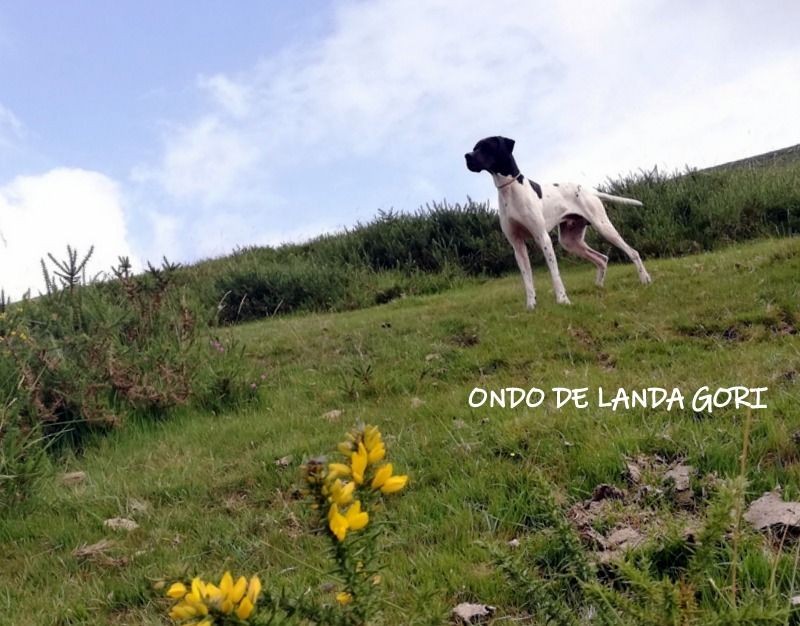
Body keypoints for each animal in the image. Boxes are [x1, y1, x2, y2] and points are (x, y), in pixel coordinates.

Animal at [466, 136, 652, 308]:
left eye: (486, 147)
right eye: (475, 148)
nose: (466, 156)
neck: (510, 190)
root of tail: (590, 191)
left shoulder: (542, 238)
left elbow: (554, 273)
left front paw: (563, 300)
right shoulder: (517, 245)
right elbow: (527, 279)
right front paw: (531, 305)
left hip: (604, 228)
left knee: (632, 252)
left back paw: (644, 278)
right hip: (570, 242)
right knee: (602, 259)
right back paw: (599, 286)